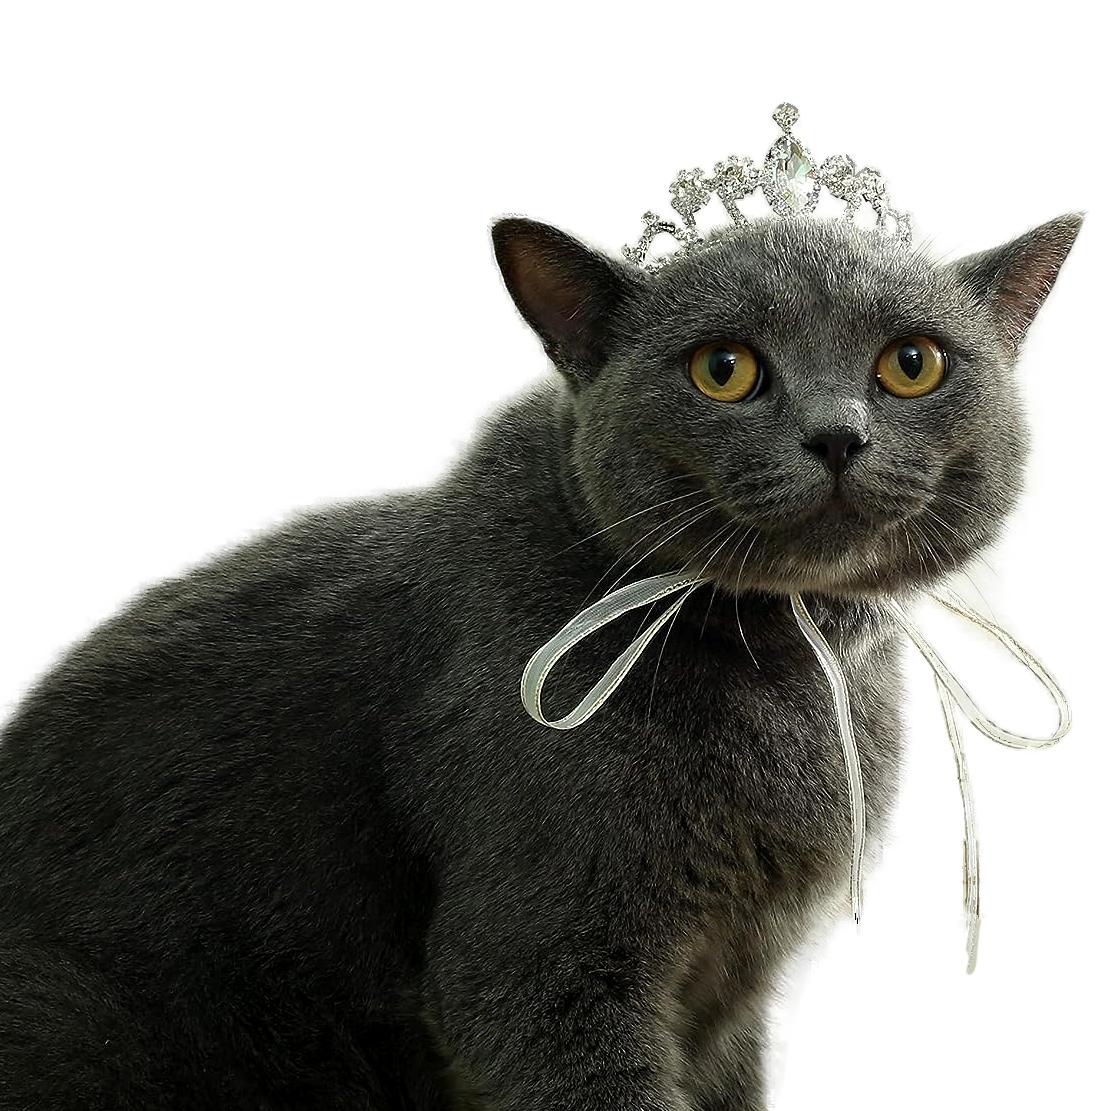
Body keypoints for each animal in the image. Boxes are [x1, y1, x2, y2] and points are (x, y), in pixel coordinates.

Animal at [0, 210, 1080, 1110]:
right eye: (723, 369)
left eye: (911, 363)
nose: (836, 434)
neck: (787, 666)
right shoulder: (540, 972)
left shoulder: (730, 993)